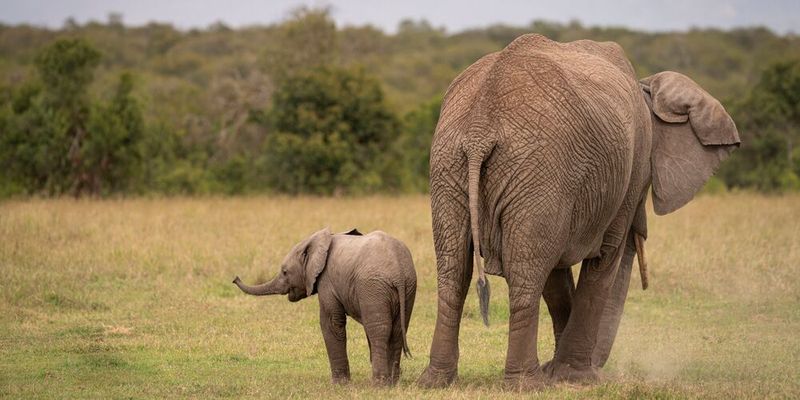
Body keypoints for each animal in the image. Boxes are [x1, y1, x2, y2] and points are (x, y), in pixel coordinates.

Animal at [233, 228, 417, 385]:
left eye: (285, 272)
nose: (235, 278)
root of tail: (398, 271)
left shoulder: (327, 281)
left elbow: (331, 323)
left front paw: (339, 385)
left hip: (373, 286)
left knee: (379, 330)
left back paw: (379, 385)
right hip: (407, 288)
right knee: (397, 330)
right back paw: (392, 383)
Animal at [417, 34, 739, 389]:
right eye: (648, 182)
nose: (600, 368)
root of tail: (479, 128)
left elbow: (556, 275)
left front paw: (559, 372)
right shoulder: (626, 173)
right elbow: (605, 258)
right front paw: (579, 377)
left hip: (451, 164)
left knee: (455, 266)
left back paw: (435, 381)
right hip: (535, 168)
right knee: (524, 270)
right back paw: (528, 384)